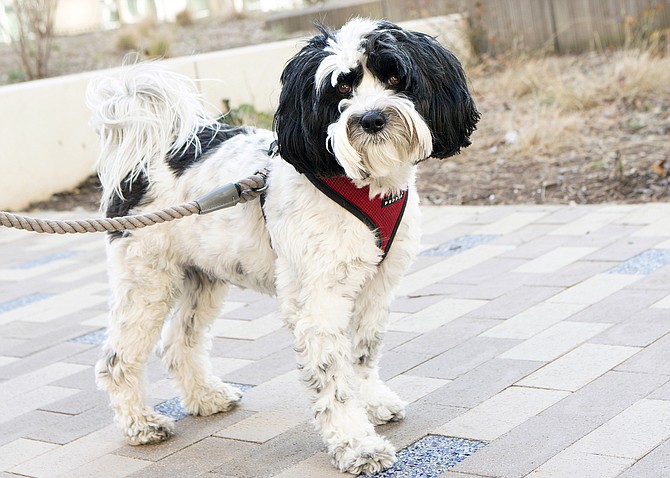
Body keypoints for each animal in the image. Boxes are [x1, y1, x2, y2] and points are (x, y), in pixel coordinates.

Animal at [89, 17, 480, 474]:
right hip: (146, 280)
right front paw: (357, 444)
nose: (370, 118)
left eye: (396, 77)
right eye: (340, 88)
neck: (361, 183)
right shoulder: (318, 302)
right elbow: (334, 378)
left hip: (202, 277)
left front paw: (372, 402)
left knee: (178, 342)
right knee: (117, 359)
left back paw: (206, 397)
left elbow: (362, 355)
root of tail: (147, 156)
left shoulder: (376, 287)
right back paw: (140, 424)